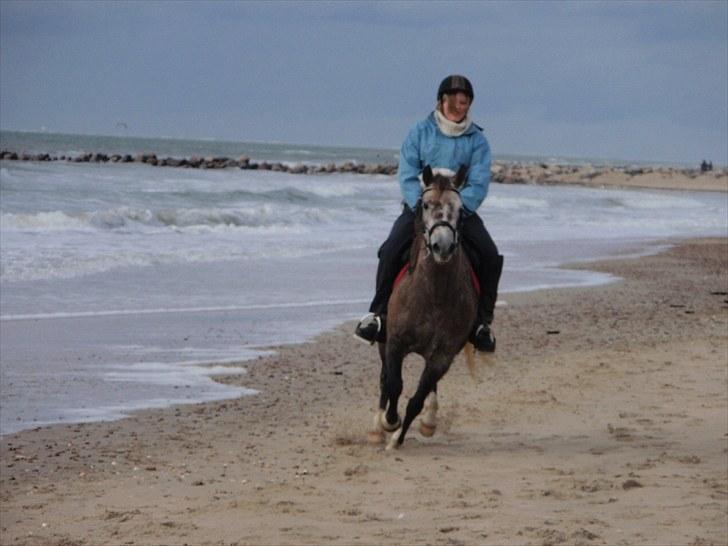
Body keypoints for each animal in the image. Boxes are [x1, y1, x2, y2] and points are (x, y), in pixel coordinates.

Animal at [370, 164, 478, 448]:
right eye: (426, 204)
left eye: (460, 209)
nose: (443, 246)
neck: (435, 294)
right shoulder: (395, 342)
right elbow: (394, 384)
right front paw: (389, 422)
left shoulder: (443, 356)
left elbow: (417, 399)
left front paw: (397, 439)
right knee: (384, 379)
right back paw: (376, 428)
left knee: (429, 388)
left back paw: (429, 421)